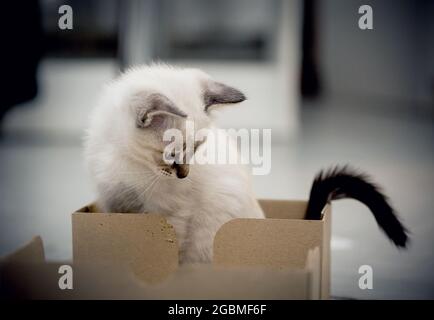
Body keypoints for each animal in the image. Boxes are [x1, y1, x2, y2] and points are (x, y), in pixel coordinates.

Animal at [82, 63, 262, 264]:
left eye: (196, 148)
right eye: (171, 155)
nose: (184, 175)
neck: (132, 162)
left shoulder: (173, 215)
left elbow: (171, 254)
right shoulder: (116, 202)